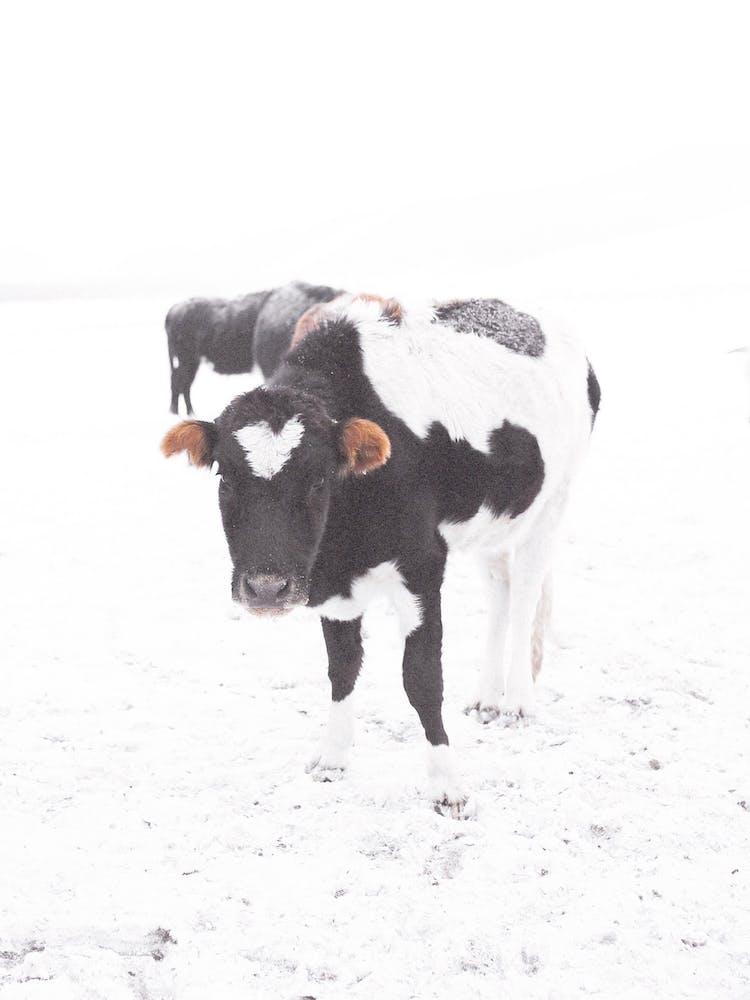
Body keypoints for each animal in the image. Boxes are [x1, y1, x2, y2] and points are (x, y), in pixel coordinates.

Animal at [161, 295, 601, 817]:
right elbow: (342, 668)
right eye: (225, 478)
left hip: (553, 501)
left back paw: (516, 701)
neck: (343, 544)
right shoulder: (330, 586)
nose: (266, 588)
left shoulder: (422, 564)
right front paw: (333, 758)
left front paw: (446, 785)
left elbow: (422, 678)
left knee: (527, 593)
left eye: (319, 480)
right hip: (494, 522)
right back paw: (486, 697)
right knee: (501, 591)